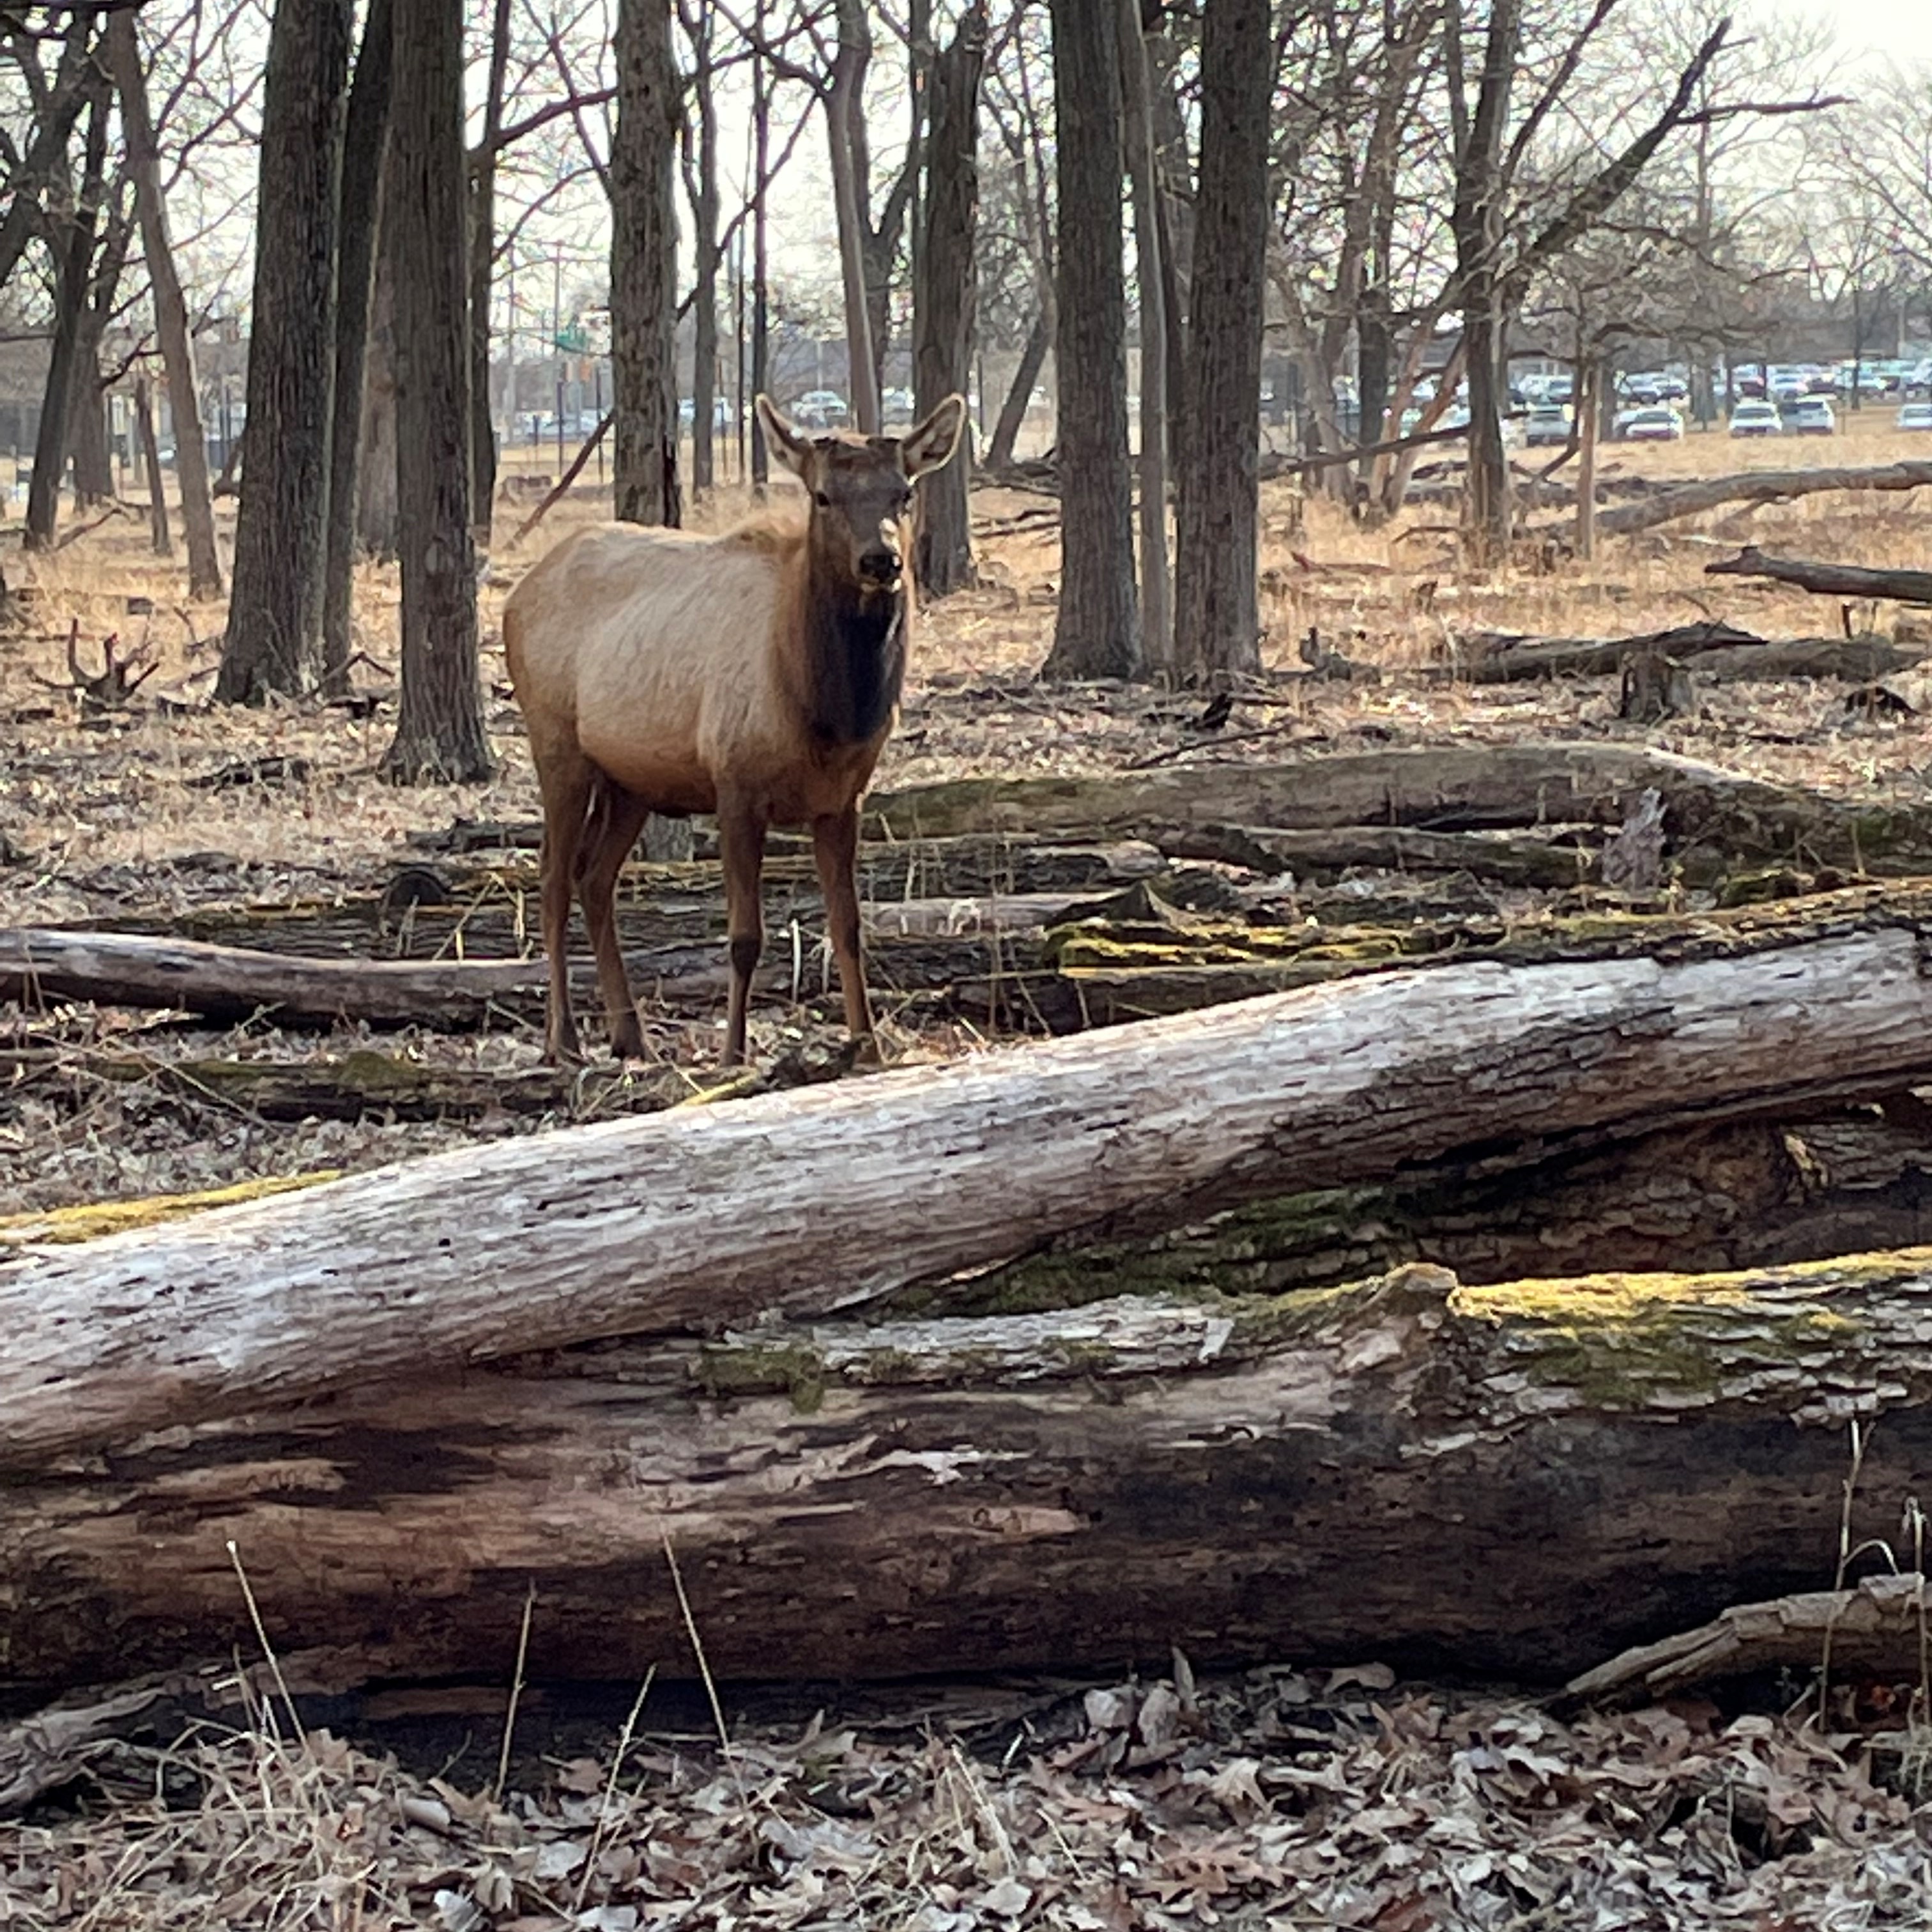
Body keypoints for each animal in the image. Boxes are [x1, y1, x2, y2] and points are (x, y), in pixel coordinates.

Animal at [510, 386, 974, 1066]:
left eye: (904, 494)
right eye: (822, 496)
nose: (881, 559)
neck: (826, 715)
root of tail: (516, 595)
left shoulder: (844, 798)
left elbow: (850, 926)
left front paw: (867, 1045)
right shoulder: (734, 783)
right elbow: (744, 937)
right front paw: (734, 1053)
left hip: (631, 781)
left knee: (595, 879)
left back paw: (630, 1034)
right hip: (557, 744)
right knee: (551, 880)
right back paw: (563, 1039)